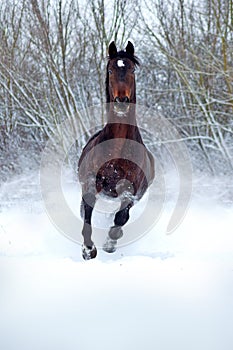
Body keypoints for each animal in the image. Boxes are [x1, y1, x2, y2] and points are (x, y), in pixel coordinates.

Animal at [78, 41, 155, 260]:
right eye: (111, 69)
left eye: (132, 69)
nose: (122, 101)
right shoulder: (90, 183)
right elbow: (88, 214)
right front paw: (88, 250)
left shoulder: (130, 192)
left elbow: (121, 218)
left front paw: (109, 245)